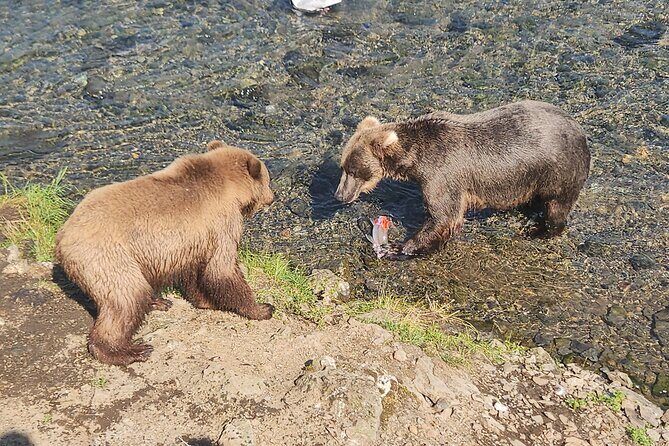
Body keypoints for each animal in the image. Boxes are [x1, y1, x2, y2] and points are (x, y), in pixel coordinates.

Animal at [55, 141, 275, 365]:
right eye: (268, 180)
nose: (272, 198)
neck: (231, 189)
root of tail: (62, 239)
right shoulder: (222, 223)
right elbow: (222, 269)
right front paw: (262, 308)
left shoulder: (194, 240)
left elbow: (196, 272)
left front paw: (206, 301)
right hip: (107, 257)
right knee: (126, 298)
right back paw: (128, 350)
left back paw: (158, 302)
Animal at [334, 100, 590, 258]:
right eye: (343, 167)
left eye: (354, 171)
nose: (339, 195)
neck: (415, 160)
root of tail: (581, 132)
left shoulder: (443, 175)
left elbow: (444, 216)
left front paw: (400, 247)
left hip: (558, 171)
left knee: (556, 205)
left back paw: (537, 230)